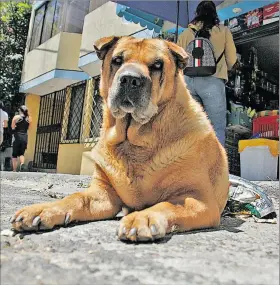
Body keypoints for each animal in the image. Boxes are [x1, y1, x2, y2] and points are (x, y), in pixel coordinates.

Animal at [10, 36, 230, 242]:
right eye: (117, 60)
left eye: (157, 65)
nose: (130, 79)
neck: (134, 141)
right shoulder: (103, 193)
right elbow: (76, 197)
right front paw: (44, 209)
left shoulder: (199, 198)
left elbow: (167, 205)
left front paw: (143, 218)